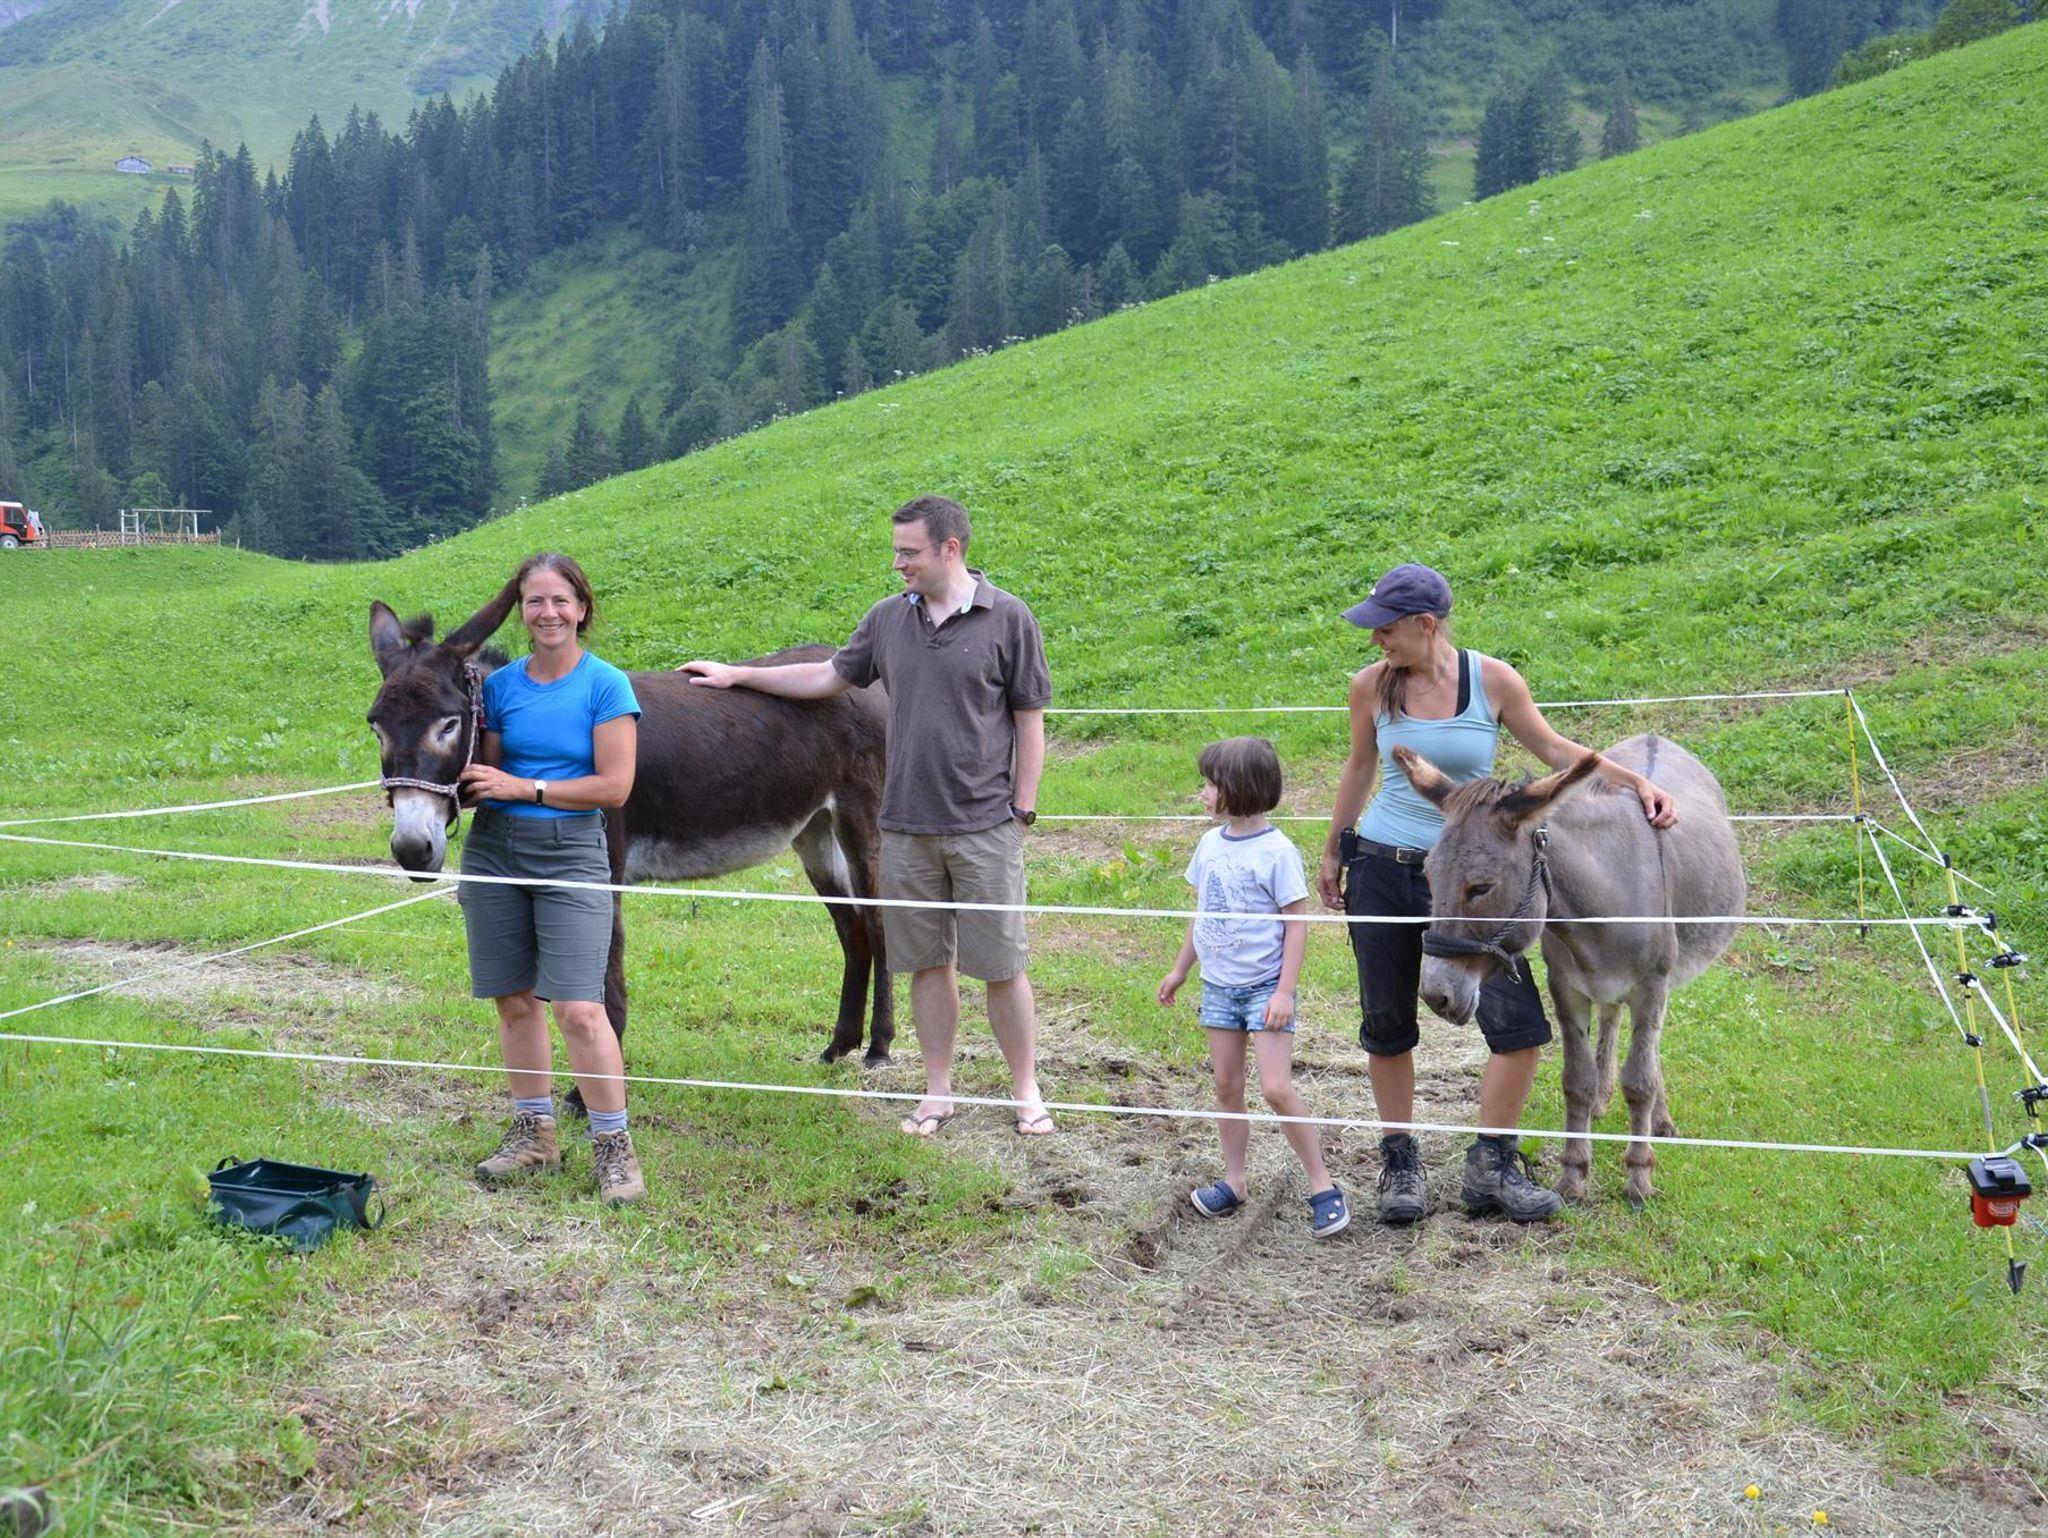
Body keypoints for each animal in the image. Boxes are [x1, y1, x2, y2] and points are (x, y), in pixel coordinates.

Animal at [365, 578, 894, 1069]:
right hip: (814, 829)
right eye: (376, 728)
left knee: (878, 919)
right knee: (853, 929)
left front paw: (590, 1089)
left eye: (449, 724)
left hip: (859, 819)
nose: (412, 849)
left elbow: (606, 976)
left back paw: (879, 1046)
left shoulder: (605, 872)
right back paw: (840, 1045)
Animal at [1391, 735, 1744, 1206]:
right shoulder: (1566, 988)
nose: (1435, 995)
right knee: (1612, 1016)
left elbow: (1640, 1081)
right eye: (1428, 875)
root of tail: (1653, 737)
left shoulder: (1652, 987)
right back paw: (1603, 1099)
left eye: (1481, 887)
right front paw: (1573, 1175)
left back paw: (1659, 1120)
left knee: (1646, 1046)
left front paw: (1638, 1178)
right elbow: (1576, 1080)